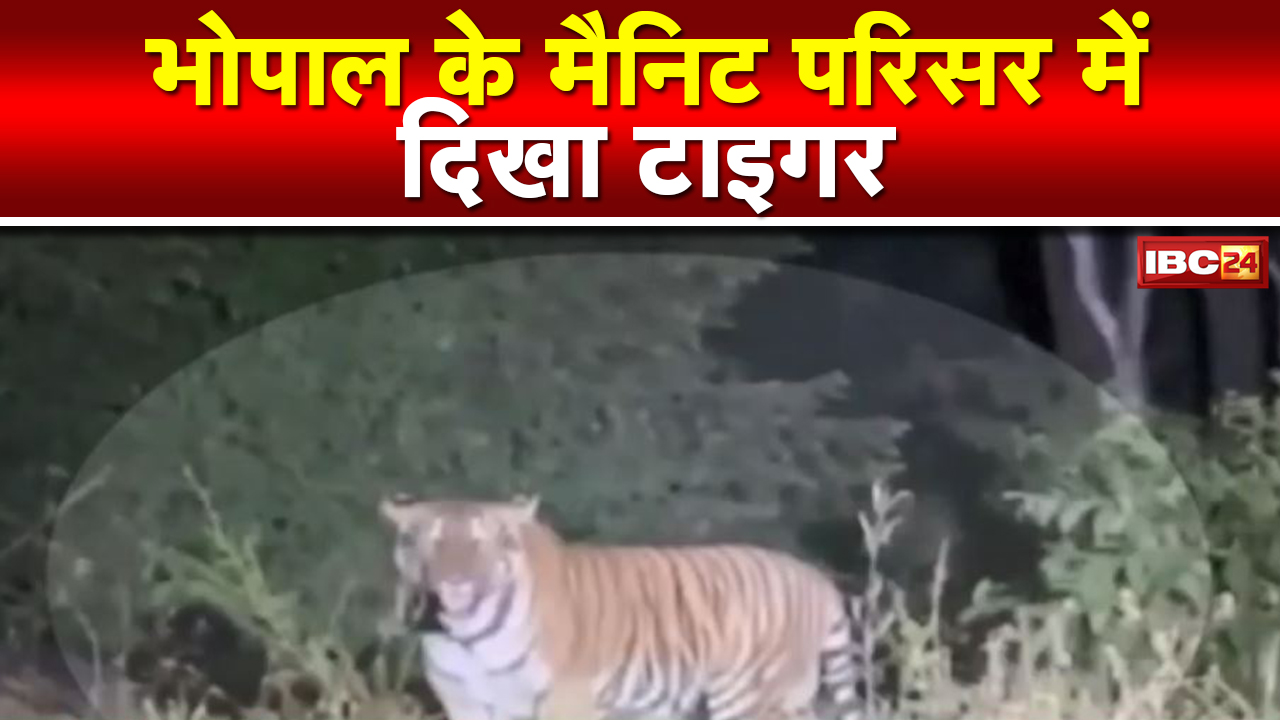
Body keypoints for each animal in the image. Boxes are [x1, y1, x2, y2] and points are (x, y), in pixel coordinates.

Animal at [378, 493, 862, 720]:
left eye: (483, 542)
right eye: (422, 540)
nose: (454, 579)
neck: (467, 636)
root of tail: (818, 579)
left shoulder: (564, 700)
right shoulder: (463, 700)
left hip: (748, 695)